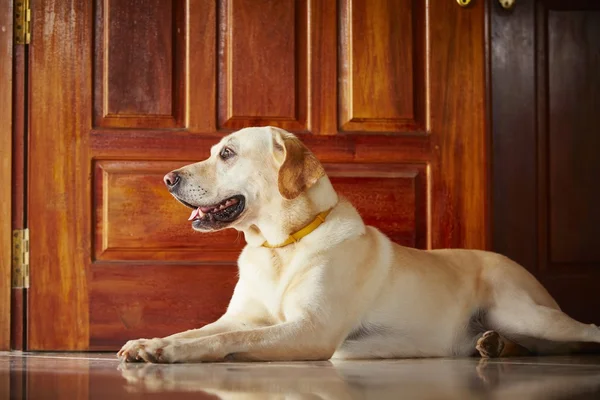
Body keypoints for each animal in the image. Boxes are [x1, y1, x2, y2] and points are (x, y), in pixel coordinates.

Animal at [117, 126, 600, 364]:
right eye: (215, 150)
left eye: (227, 154)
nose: (168, 178)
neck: (280, 246)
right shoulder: (239, 317)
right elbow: (200, 330)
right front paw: (150, 341)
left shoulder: (312, 330)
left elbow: (222, 340)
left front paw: (169, 352)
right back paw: (494, 346)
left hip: (524, 312)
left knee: (584, 332)